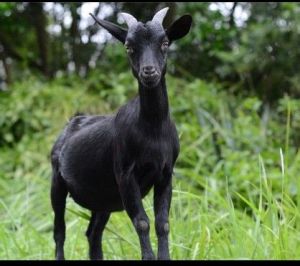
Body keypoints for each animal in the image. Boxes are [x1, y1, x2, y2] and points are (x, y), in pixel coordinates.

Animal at [50, 7, 192, 260]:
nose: (149, 72)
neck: (152, 129)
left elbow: (163, 223)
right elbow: (142, 222)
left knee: (93, 233)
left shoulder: (166, 174)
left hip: (102, 198)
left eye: (165, 42)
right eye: (128, 46)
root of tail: (72, 122)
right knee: (59, 231)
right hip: (57, 182)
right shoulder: (125, 174)